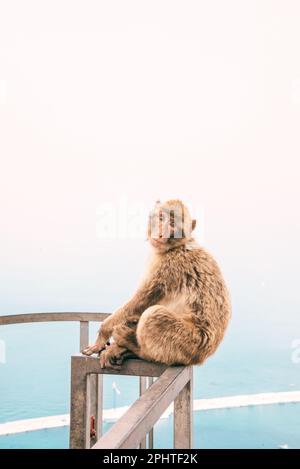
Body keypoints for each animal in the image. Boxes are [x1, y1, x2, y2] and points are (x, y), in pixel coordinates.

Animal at [82, 199, 232, 368]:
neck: (174, 247)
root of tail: (203, 357)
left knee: (153, 315)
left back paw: (134, 346)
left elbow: (141, 301)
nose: (161, 232)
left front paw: (102, 334)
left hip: (189, 344)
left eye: (172, 223)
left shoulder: (168, 266)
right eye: (161, 218)